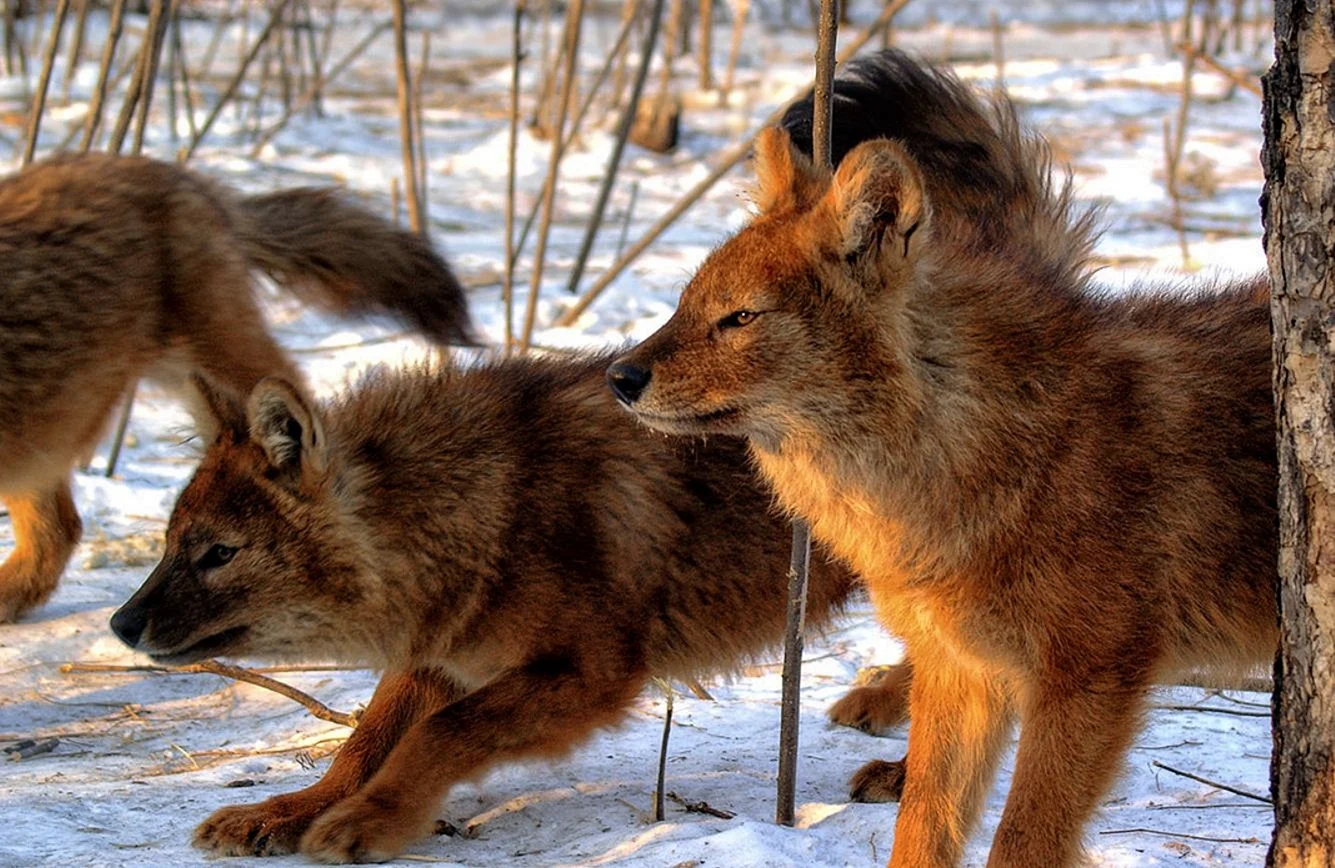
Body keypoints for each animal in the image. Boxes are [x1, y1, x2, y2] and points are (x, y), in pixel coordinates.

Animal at [109, 354, 912, 862]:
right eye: (171, 543)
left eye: (218, 553)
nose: (120, 624)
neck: (480, 509)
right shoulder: (447, 652)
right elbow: (363, 743)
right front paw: (285, 811)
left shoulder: (589, 674)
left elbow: (439, 735)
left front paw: (372, 821)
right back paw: (879, 704)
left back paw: (902, 773)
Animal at [609, 50, 1277, 867]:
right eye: (686, 304)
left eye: (738, 318)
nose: (619, 377)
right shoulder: (965, 668)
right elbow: (924, 823)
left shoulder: (1086, 680)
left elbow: (1021, 841)